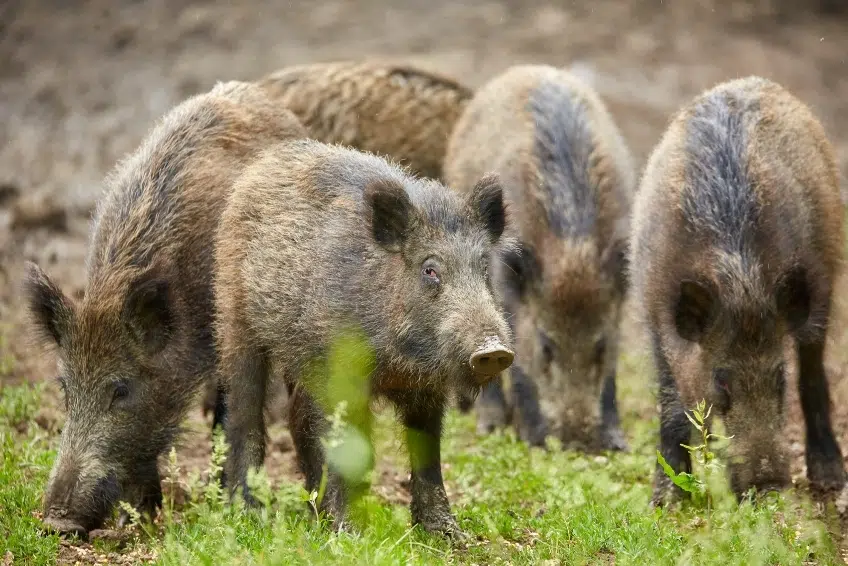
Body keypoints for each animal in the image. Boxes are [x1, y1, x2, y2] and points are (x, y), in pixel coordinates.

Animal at [214, 138, 515, 537]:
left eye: (483, 268)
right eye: (430, 269)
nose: (493, 350)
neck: (400, 363)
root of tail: (264, 162)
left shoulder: (428, 391)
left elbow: (427, 453)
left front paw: (450, 536)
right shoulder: (342, 373)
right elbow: (349, 446)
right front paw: (350, 535)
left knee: (299, 419)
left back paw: (313, 515)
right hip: (235, 320)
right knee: (244, 413)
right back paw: (250, 516)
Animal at [443, 64, 635, 451]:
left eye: (601, 346)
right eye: (547, 347)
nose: (576, 441)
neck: (572, 245)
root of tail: (525, 70)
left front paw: (617, 443)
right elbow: (515, 363)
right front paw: (531, 440)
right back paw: (490, 423)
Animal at [630, 76, 846, 503]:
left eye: (778, 378)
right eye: (721, 379)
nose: (768, 484)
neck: (739, 278)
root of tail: (755, 82)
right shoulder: (653, 312)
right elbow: (671, 403)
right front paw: (667, 500)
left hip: (823, 285)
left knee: (813, 375)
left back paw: (830, 479)